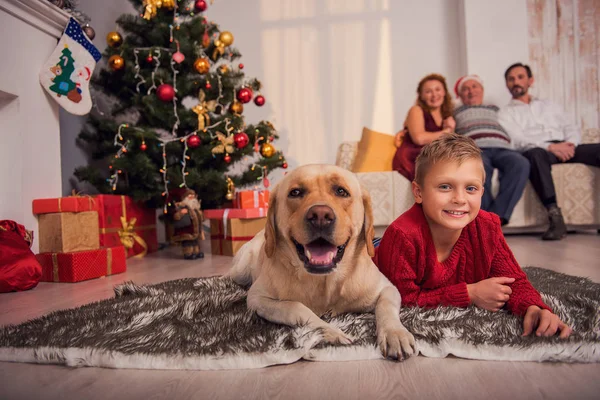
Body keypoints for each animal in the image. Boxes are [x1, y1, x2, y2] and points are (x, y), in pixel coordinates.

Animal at [227, 164, 414, 360]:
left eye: (341, 191)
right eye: (295, 192)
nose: (320, 216)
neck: (325, 282)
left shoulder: (388, 288)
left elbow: (386, 306)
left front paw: (395, 333)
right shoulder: (257, 298)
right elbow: (296, 307)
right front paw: (333, 332)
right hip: (240, 271)